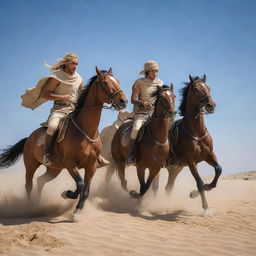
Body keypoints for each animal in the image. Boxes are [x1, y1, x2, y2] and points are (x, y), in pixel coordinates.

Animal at [0, 67, 128, 213]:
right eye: (105, 82)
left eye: (117, 81)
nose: (123, 101)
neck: (85, 130)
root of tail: (29, 138)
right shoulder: (70, 164)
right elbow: (80, 184)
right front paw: (66, 194)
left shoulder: (91, 166)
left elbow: (85, 190)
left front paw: (78, 210)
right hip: (31, 165)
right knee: (29, 184)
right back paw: (30, 206)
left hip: (54, 169)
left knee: (40, 181)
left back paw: (38, 203)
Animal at [153, 74, 221, 216]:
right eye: (196, 89)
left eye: (208, 87)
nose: (211, 105)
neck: (196, 132)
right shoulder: (191, 162)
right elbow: (199, 183)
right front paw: (206, 208)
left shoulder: (209, 156)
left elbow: (218, 170)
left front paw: (204, 188)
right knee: (155, 186)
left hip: (175, 169)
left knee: (168, 187)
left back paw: (166, 208)